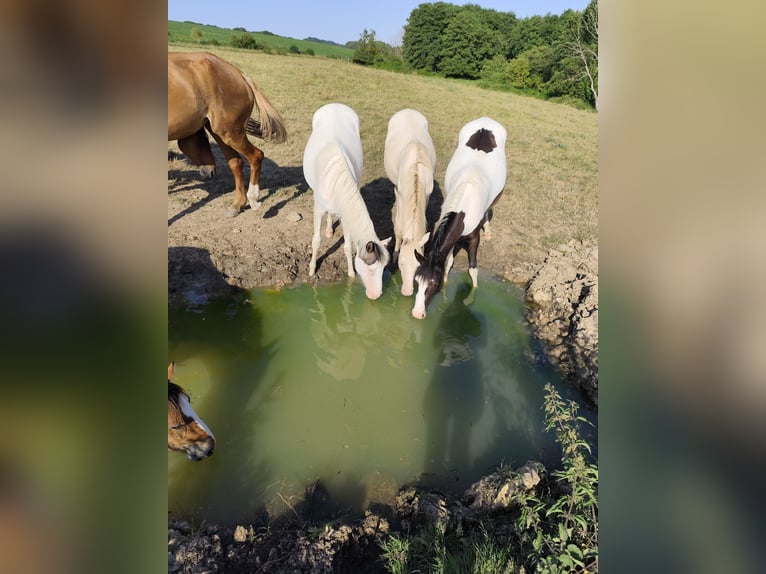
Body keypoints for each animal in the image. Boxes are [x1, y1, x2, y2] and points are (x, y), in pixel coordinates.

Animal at [168, 51, 288, 217]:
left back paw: (253, 199)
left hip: (229, 133)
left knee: (256, 155)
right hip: (220, 132)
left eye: (204, 138)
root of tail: (240, 75)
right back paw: (238, 205)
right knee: (236, 162)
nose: (210, 171)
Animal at [303, 103, 391, 300]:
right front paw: (312, 270)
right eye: (370, 268)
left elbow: (348, 245)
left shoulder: (346, 213)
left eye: (383, 268)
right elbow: (316, 241)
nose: (375, 295)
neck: (335, 176)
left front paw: (350, 274)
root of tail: (335, 104)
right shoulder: (318, 209)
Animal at [384, 109, 437, 296]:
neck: (415, 169)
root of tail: (407, 110)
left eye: (418, 266)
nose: (407, 291)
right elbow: (399, 229)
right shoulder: (399, 194)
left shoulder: (426, 195)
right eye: (401, 264)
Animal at [411, 117, 507, 320]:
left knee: (489, 209)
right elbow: (447, 263)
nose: (417, 313)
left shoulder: (473, 237)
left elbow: (473, 268)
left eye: (433, 283)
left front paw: (472, 295)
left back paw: (488, 230)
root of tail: (486, 121)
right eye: (416, 281)